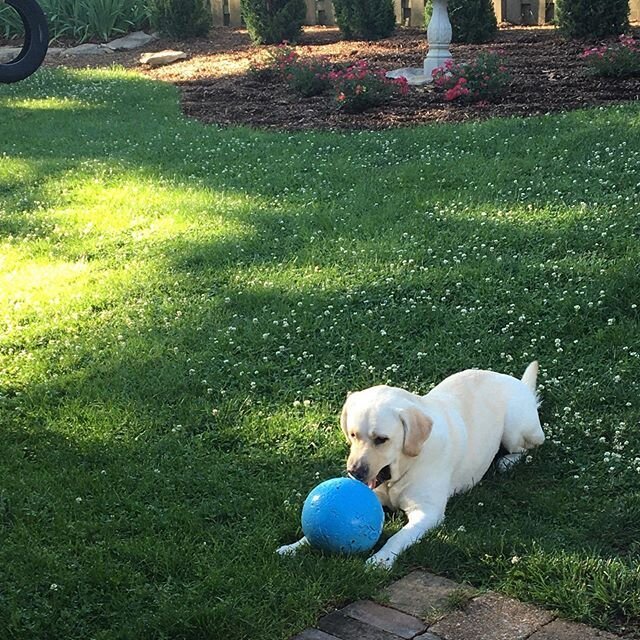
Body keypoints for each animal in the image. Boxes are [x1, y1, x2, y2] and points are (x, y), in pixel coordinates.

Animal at [276, 362, 544, 568]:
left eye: (381, 439)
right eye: (353, 435)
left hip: (515, 429)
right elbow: (311, 532)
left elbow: (398, 536)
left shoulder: (427, 512)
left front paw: (380, 560)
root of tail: (519, 384)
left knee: (529, 447)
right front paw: (293, 546)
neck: (401, 472)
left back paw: (507, 461)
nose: (354, 472)